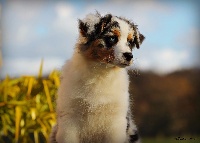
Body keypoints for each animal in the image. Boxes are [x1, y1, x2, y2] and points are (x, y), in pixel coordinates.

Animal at [49, 11, 145, 142]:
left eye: (130, 42)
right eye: (112, 38)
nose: (129, 56)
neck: (101, 73)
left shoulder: (116, 122)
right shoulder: (69, 120)